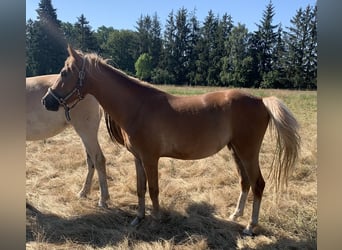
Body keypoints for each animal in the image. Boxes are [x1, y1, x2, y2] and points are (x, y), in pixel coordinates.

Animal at [42, 46, 300, 235]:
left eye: (64, 73)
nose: (47, 101)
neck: (138, 107)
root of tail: (260, 100)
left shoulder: (150, 158)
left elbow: (154, 189)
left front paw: (156, 219)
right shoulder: (138, 159)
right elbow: (140, 188)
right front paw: (138, 218)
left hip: (248, 152)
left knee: (258, 184)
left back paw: (250, 226)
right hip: (236, 151)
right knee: (245, 182)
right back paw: (236, 215)